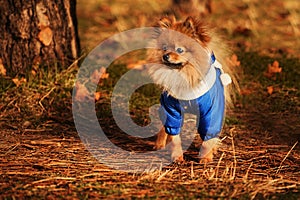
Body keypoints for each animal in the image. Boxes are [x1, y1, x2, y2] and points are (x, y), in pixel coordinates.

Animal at [146, 16, 238, 162]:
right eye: (164, 48)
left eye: (179, 50)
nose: (165, 56)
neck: (185, 76)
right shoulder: (172, 110)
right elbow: (174, 136)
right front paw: (177, 156)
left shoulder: (211, 112)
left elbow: (207, 138)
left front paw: (206, 157)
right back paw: (159, 144)